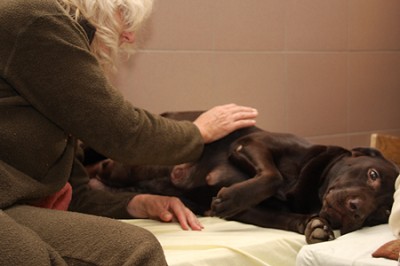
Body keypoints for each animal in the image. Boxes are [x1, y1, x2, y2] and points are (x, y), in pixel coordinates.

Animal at [83, 110, 396, 243]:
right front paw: (231, 197)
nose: (356, 211)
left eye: (383, 212)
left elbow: (287, 218)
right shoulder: (250, 144)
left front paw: (315, 226)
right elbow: (271, 175)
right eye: (372, 174)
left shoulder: (254, 212)